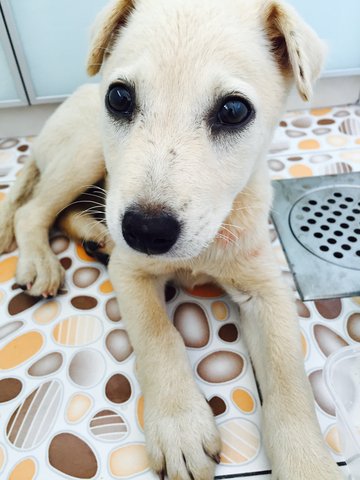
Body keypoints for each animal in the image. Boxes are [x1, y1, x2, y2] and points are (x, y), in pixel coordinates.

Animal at [0, 0, 344, 480]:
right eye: (120, 98)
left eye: (234, 110)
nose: (144, 231)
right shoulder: (131, 272)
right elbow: (158, 334)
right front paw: (180, 426)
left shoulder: (266, 286)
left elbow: (287, 373)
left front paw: (308, 461)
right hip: (87, 152)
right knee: (33, 210)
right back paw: (41, 262)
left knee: (66, 212)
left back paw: (96, 235)